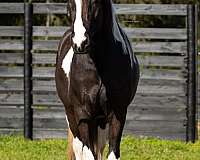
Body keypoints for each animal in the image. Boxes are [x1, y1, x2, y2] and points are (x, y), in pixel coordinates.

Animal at [54, 0, 139, 159]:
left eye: (94, 2)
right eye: (70, 3)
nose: (80, 43)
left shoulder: (118, 113)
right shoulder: (83, 115)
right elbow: (88, 154)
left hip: (100, 123)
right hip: (71, 116)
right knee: (78, 148)